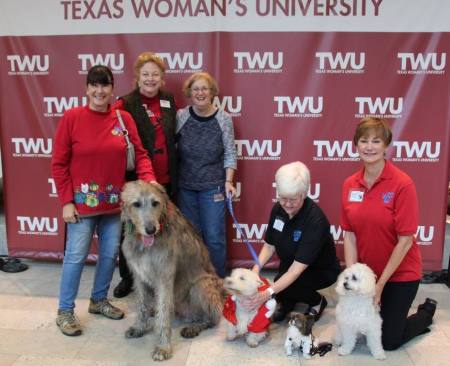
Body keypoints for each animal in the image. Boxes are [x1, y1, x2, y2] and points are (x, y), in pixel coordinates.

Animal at [121, 180, 223, 360]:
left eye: (155, 203)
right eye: (136, 204)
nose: (151, 229)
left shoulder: (164, 278)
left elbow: (163, 314)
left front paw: (163, 347)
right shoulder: (139, 276)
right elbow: (141, 305)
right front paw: (140, 327)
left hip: (202, 285)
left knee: (212, 317)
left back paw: (194, 327)